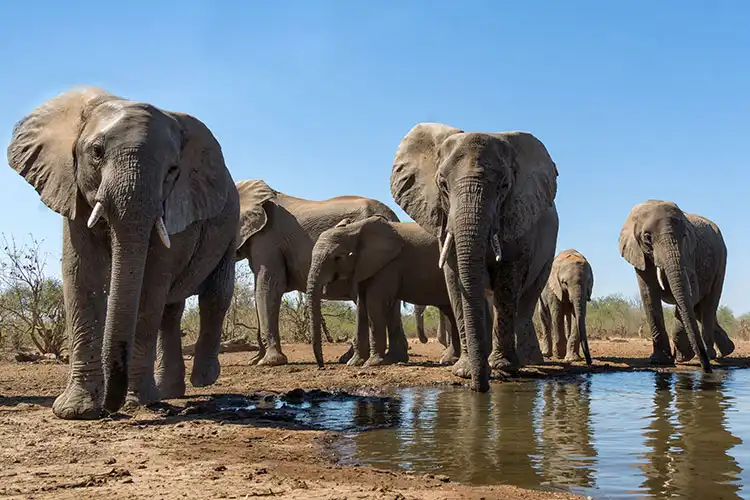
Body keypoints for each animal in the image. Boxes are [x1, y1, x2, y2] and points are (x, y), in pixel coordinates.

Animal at [5, 87, 239, 418]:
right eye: (96, 152)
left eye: (173, 170)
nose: (109, 408)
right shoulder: (72, 190)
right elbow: (82, 275)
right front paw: (77, 411)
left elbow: (150, 285)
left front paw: (135, 402)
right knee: (172, 310)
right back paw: (169, 392)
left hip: (230, 225)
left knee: (215, 296)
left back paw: (202, 380)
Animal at [306, 216, 462, 368]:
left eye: (337, 258)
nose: (321, 366)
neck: (354, 230)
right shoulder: (365, 266)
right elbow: (362, 306)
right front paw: (355, 363)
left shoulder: (388, 265)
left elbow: (374, 302)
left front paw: (372, 363)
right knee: (451, 312)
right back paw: (449, 360)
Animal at [390, 123, 560, 392]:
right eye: (443, 185)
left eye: (504, 186)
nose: (479, 388)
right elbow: (455, 277)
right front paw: (464, 371)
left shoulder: (518, 217)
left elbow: (508, 280)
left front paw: (502, 369)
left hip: (548, 252)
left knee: (527, 300)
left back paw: (528, 362)